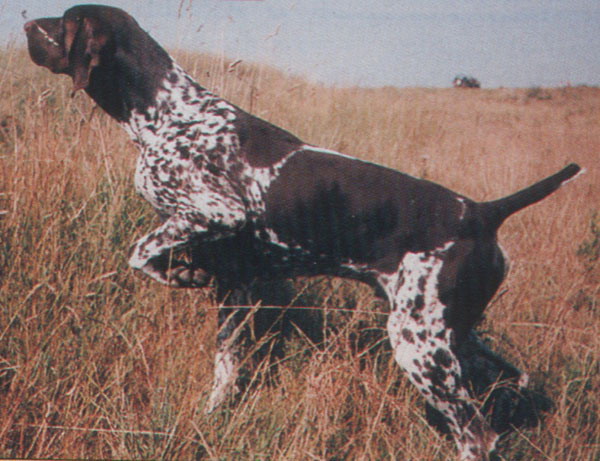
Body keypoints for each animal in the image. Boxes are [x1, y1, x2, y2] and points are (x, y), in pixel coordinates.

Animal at [24, 5, 580, 458]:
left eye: (62, 22)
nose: (27, 23)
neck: (166, 112)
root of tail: (482, 212)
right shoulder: (237, 286)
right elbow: (224, 372)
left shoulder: (219, 212)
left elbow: (141, 251)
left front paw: (183, 272)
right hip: (453, 336)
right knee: (513, 382)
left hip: (418, 344)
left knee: (477, 434)